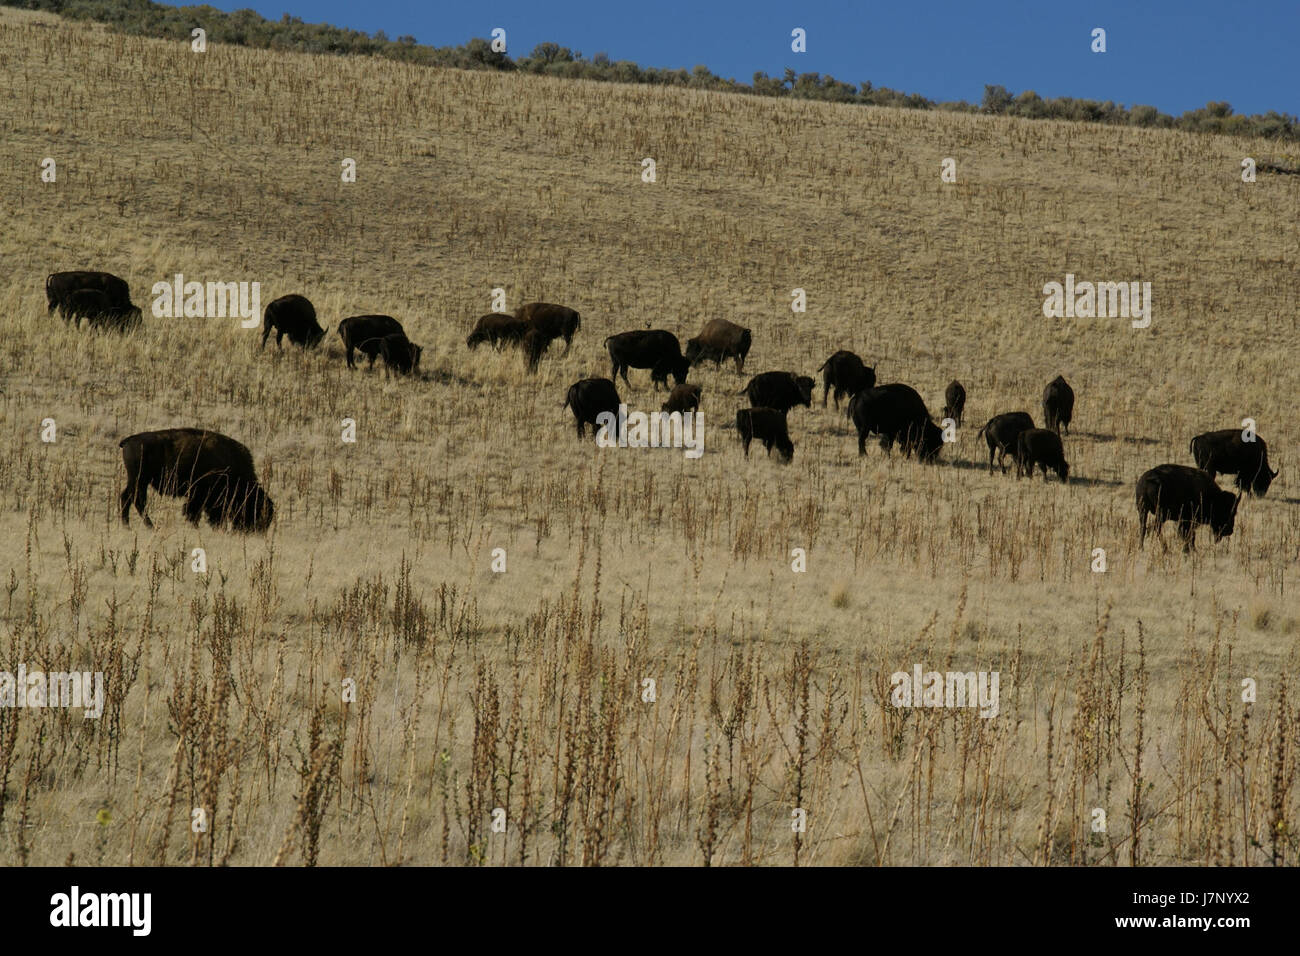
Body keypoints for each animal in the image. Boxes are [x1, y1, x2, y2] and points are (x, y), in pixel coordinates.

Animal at [119, 428, 274, 532]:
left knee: (127, 497)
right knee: (137, 500)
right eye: (254, 509)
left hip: (138, 481)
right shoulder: (201, 496)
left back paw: (129, 526)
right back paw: (148, 526)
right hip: (139, 480)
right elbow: (194, 512)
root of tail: (129, 440)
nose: (257, 531)